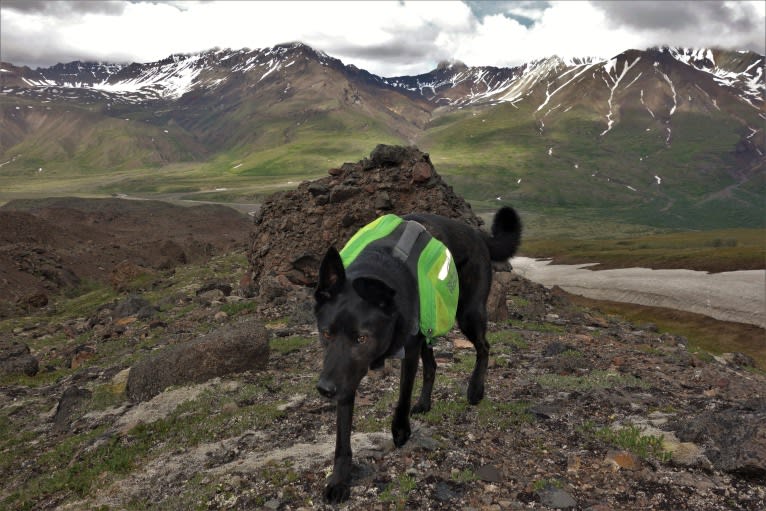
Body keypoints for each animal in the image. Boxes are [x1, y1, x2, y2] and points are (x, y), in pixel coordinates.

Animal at [314, 208, 520, 504]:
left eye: (362, 339)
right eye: (326, 333)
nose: (325, 389)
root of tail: (477, 233)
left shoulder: (407, 351)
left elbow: (402, 395)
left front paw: (400, 430)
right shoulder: (345, 374)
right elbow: (343, 435)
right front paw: (339, 479)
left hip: (468, 313)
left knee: (484, 347)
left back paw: (475, 389)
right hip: (429, 327)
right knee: (433, 365)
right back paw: (425, 402)